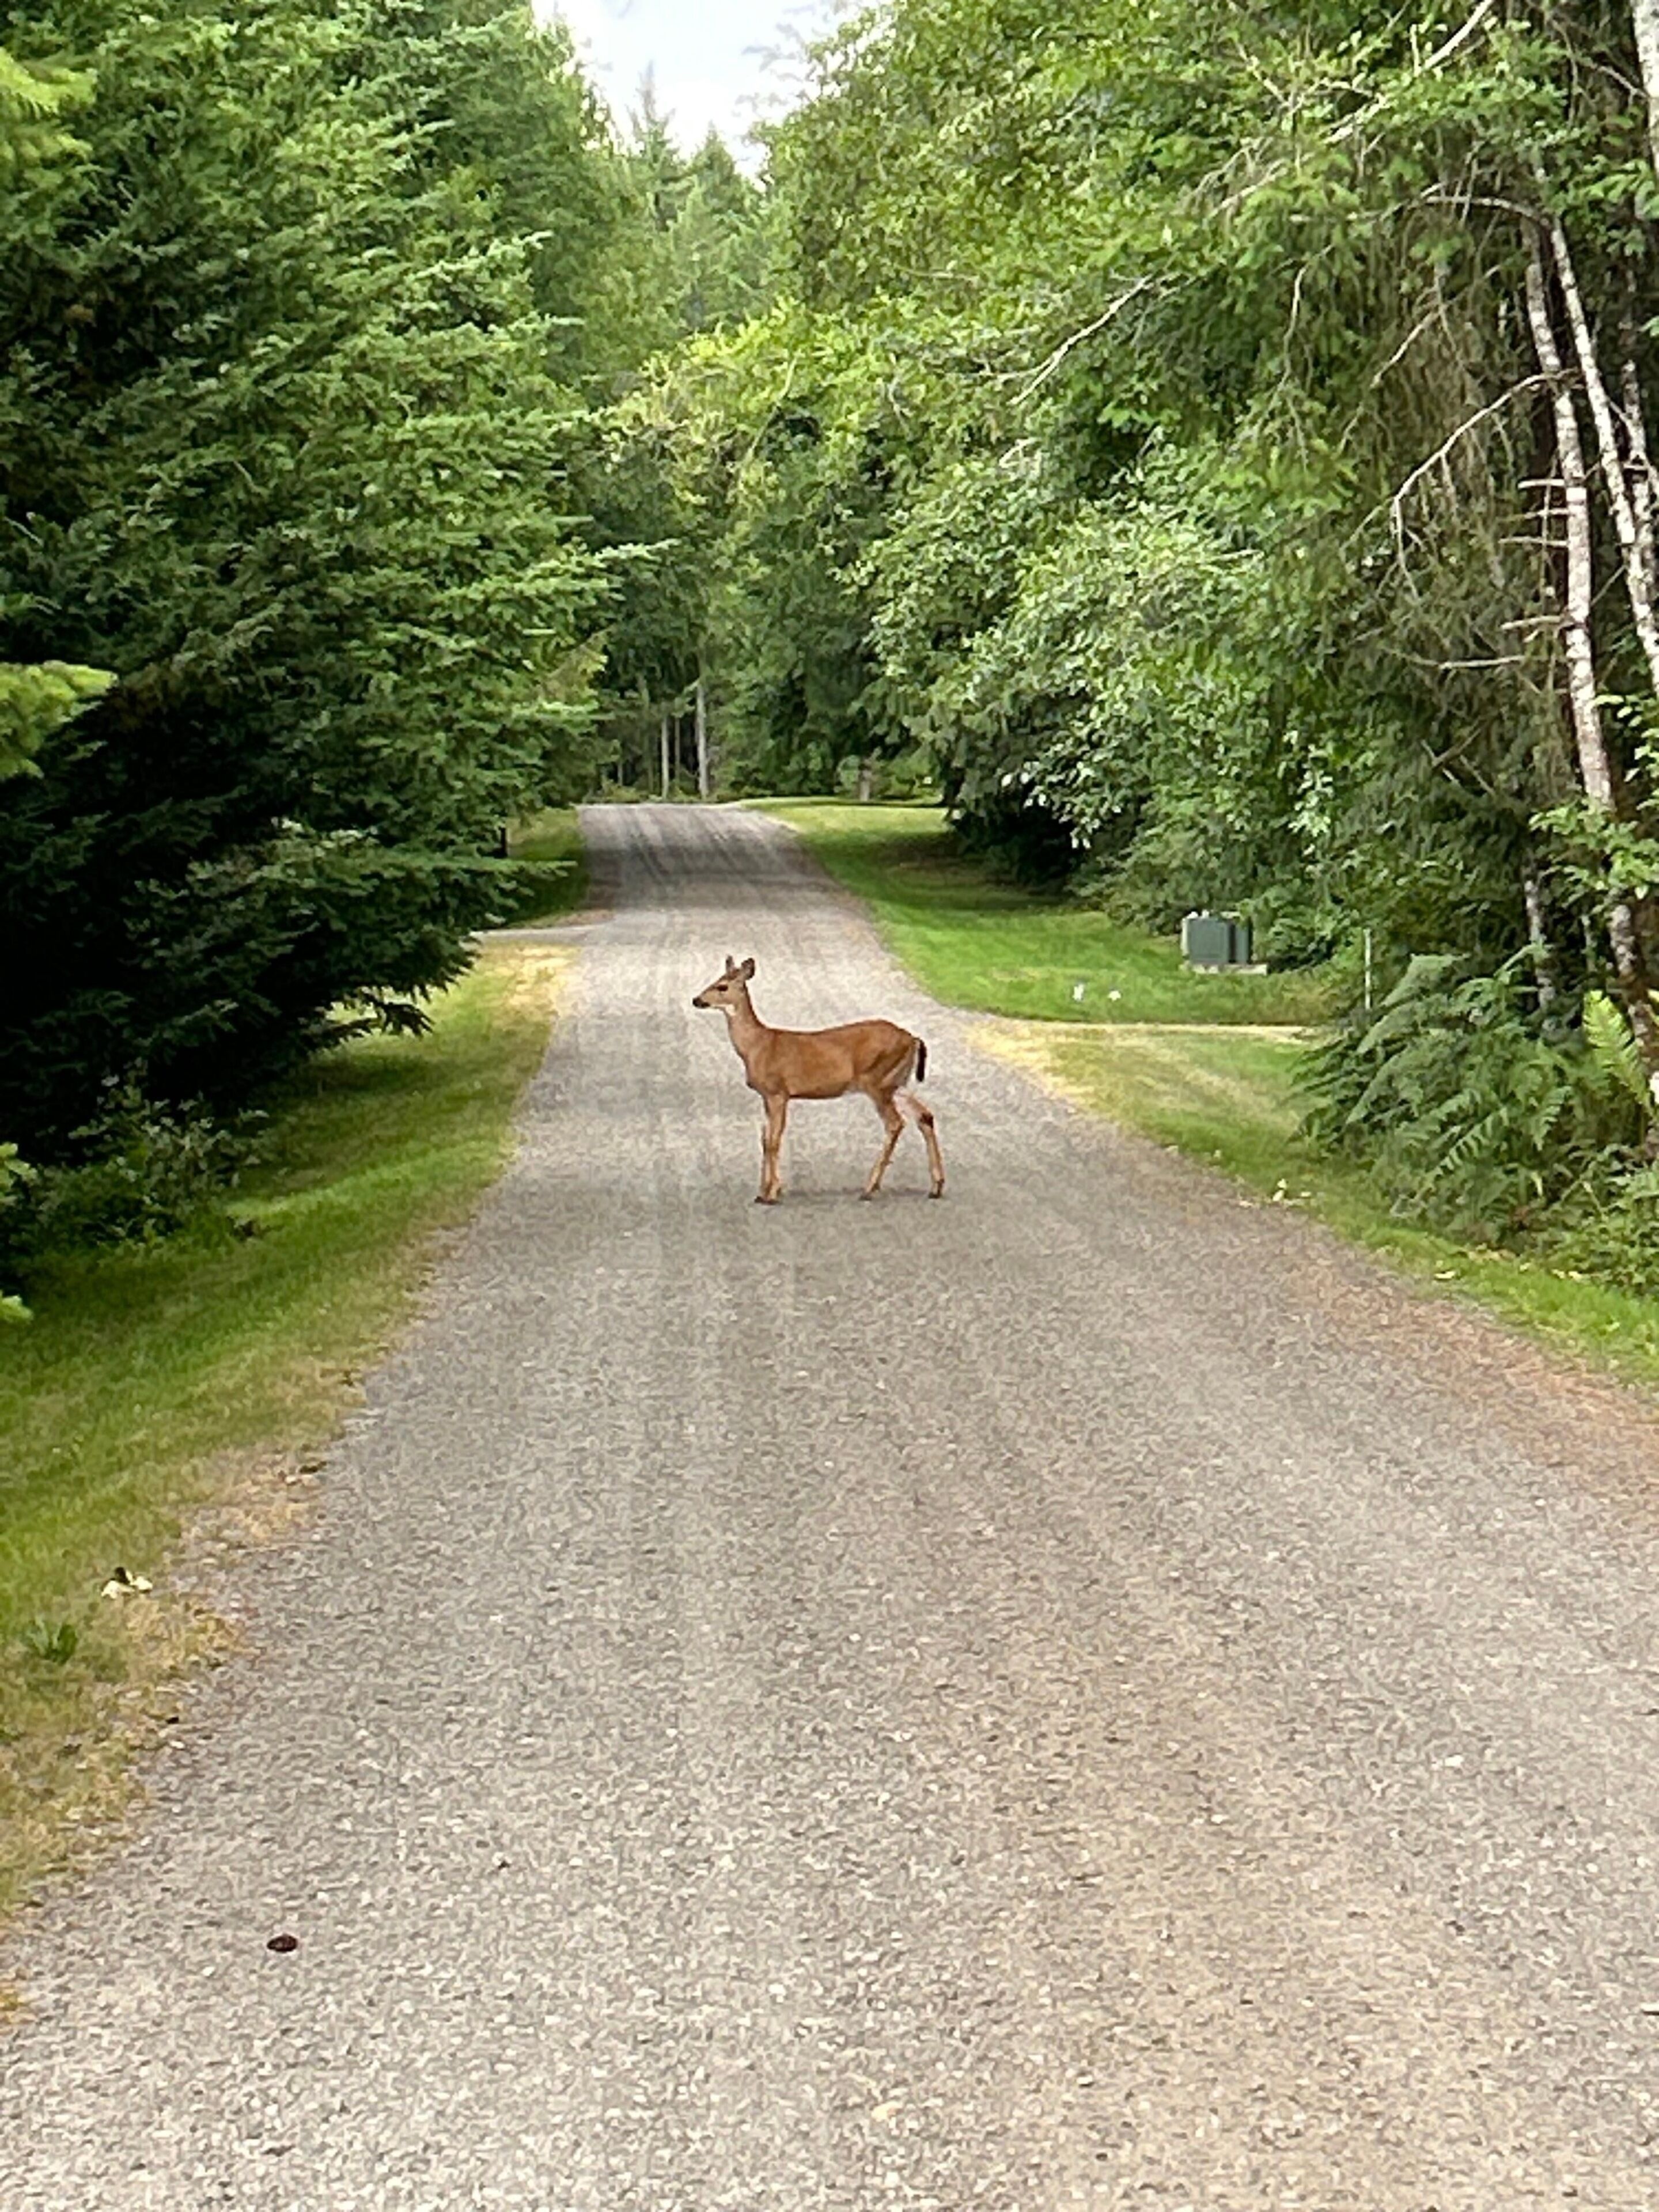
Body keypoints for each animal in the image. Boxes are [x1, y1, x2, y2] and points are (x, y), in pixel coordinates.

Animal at [692, 955, 945, 1205]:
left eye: (722, 986)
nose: (696, 1000)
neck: (757, 1045)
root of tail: (912, 1038)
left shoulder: (778, 1092)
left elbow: (774, 1140)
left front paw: (772, 1194)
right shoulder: (768, 1095)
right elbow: (765, 1139)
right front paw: (763, 1193)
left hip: (877, 1081)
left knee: (896, 1123)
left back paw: (869, 1188)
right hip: (897, 1082)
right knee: (925, 1116)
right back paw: (936, 1187)